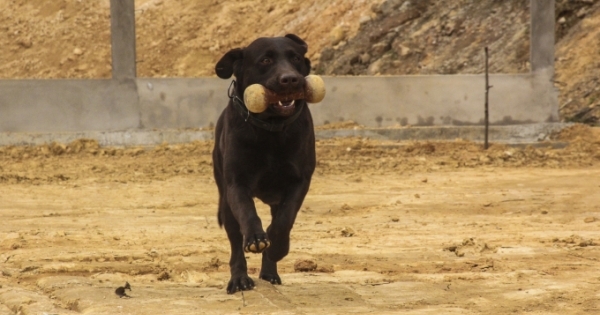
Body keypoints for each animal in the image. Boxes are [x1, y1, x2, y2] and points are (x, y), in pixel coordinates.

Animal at [213, 34, 316, 294]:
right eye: (265, 60)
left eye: (295, 57)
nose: (290, 79)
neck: (272, 130)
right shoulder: (236, 184)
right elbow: (248, 212)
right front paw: (256, 239)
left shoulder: (298, 182)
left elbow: (284, 221)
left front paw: (276, 247)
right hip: (225, 202)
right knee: (235, 244)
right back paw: (239, 279)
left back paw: (269, 273)